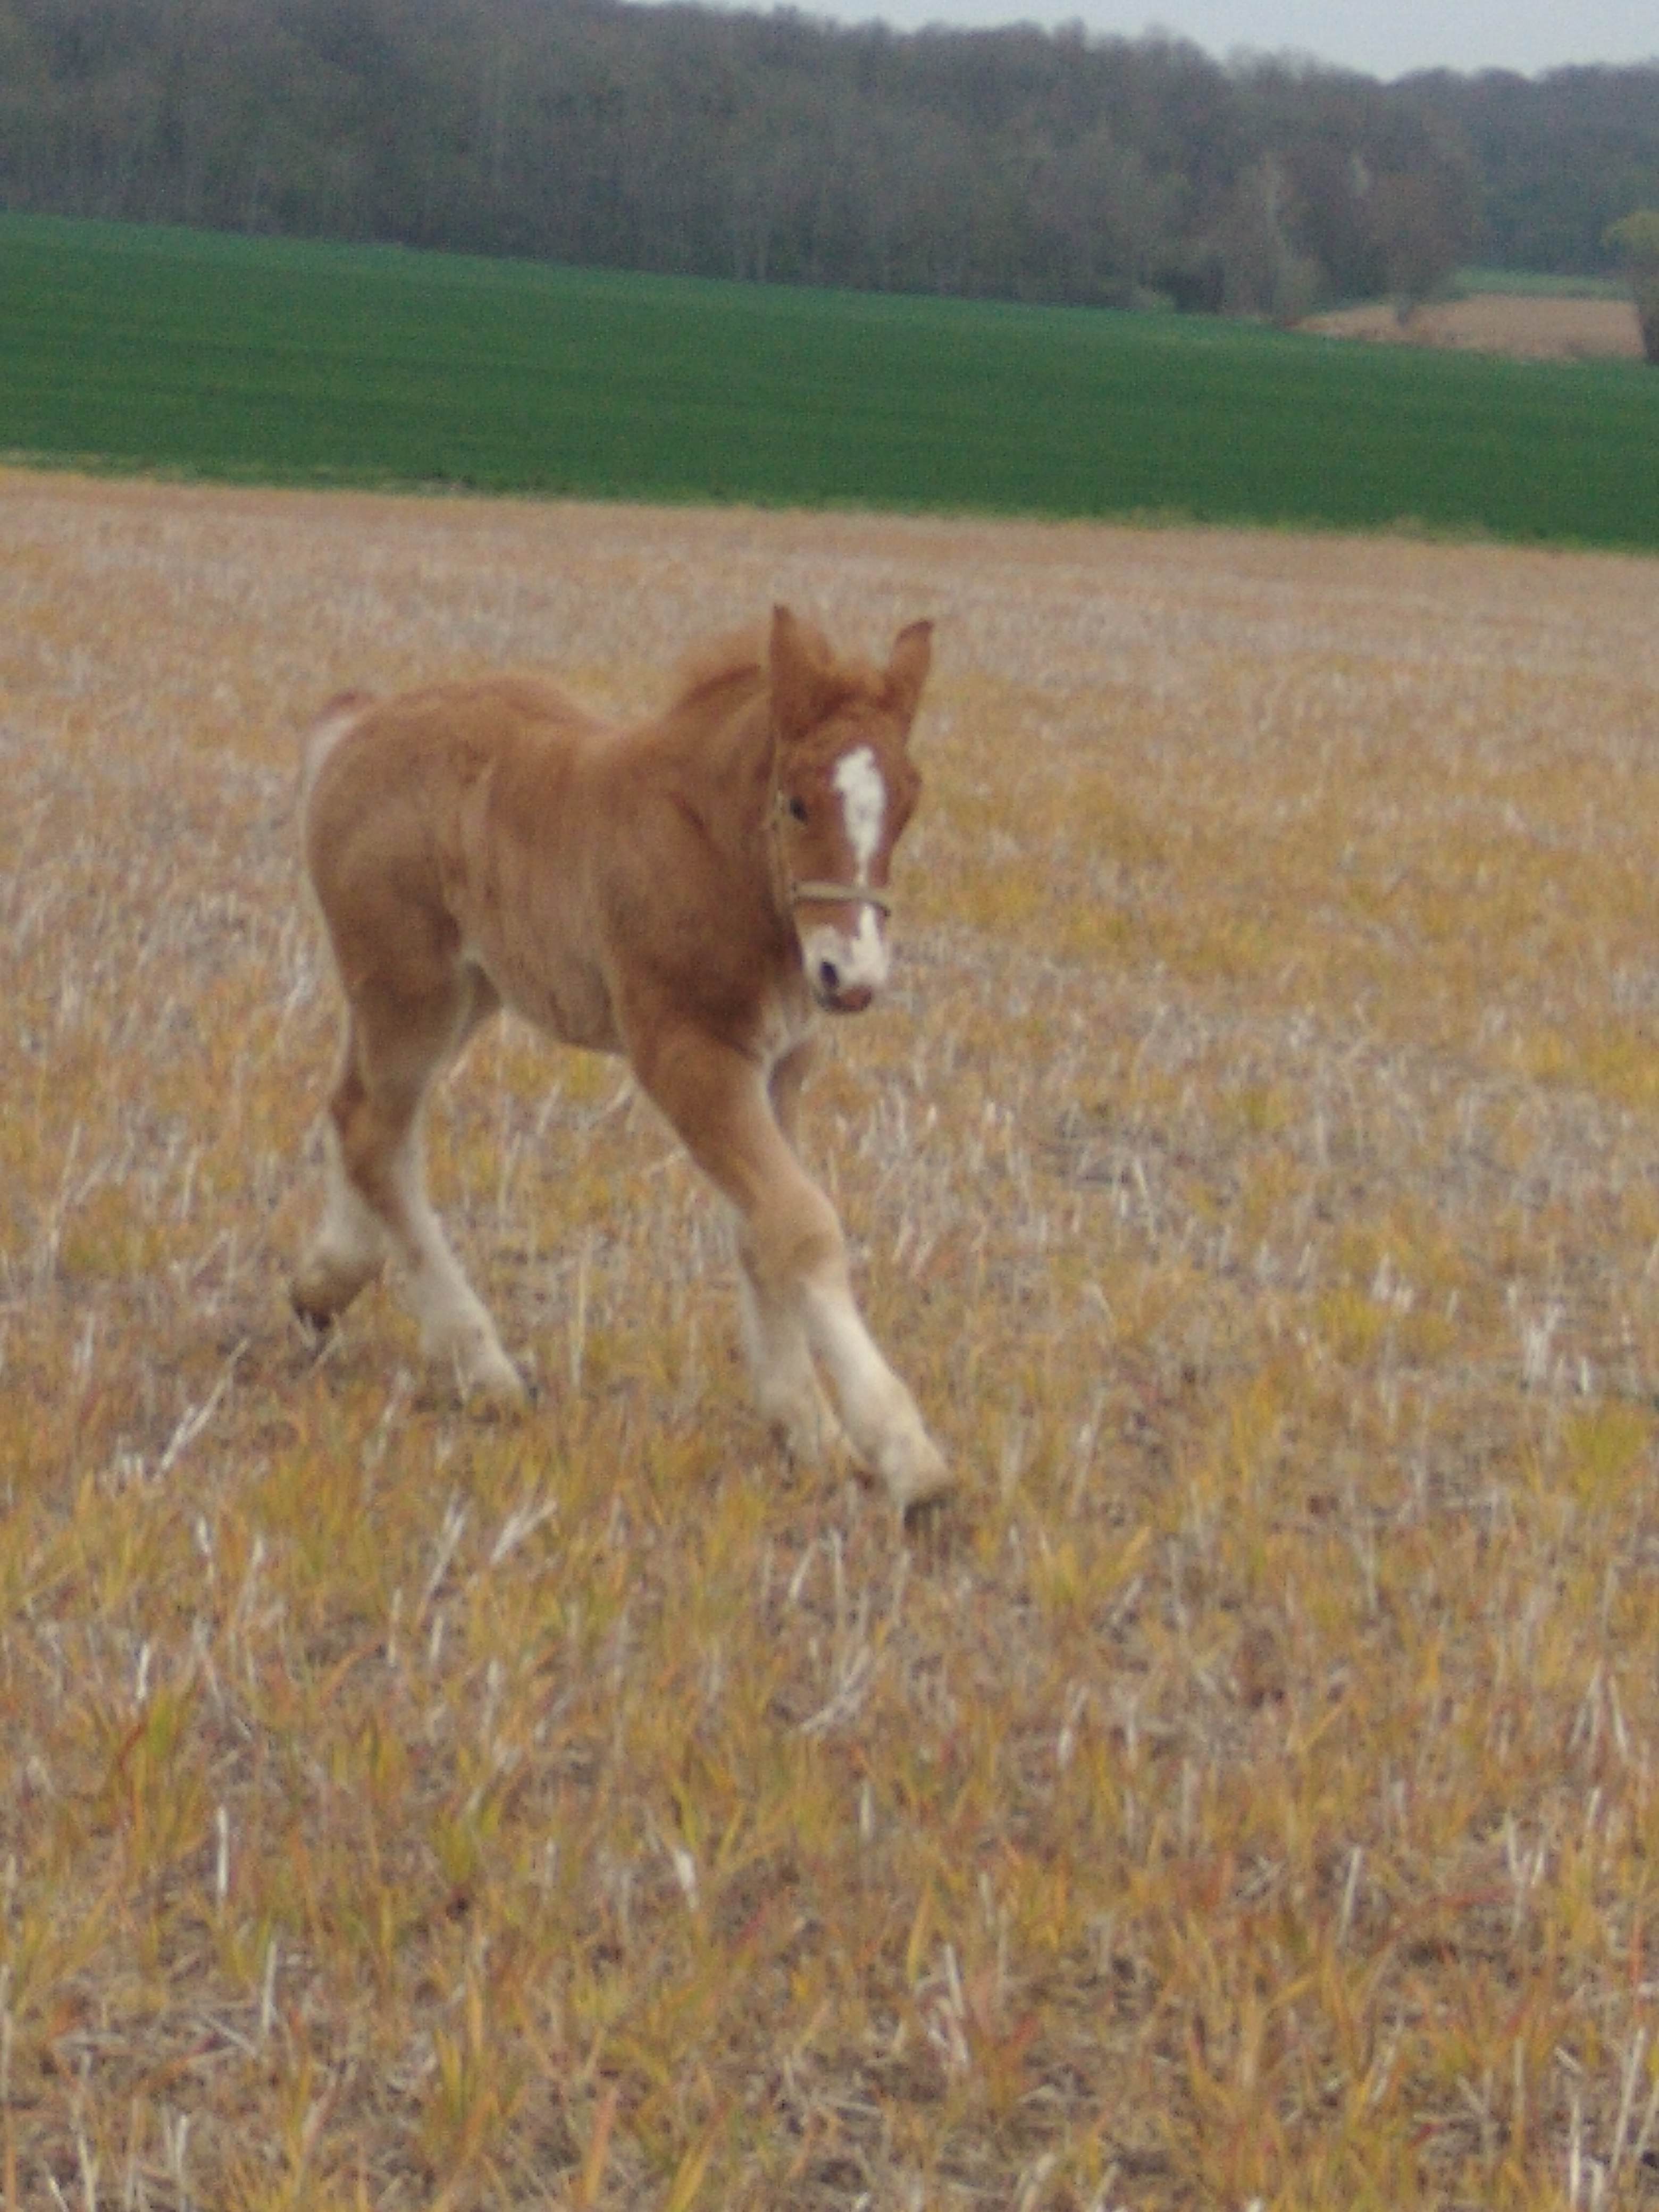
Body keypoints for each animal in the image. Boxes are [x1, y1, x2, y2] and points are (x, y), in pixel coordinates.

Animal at [292, 606, 956, 1522]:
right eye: (795, 802)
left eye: (908, 804)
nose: (849, 978)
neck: (716, 854)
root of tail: (356, 726)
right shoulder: (686, 1051)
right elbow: (800, 1224)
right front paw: (902, 1452)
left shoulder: (780, 1064)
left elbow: (760, 1229)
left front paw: (805, 1430)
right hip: (410, 986)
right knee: (374, 1129)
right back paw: (481, 1366)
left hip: (462, 990)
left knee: (359, 1113)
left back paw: (327, 1282)